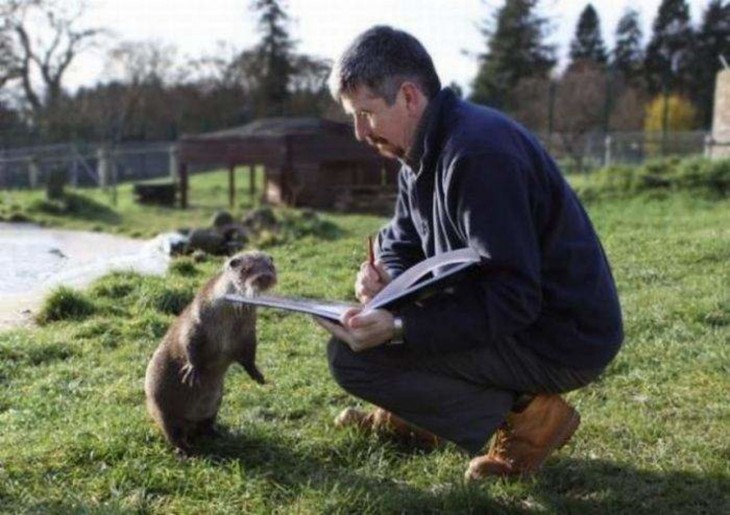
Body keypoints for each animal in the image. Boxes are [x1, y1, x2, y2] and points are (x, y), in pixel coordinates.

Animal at [144, 251, 276, 456]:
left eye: (270, 266)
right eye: (246, 269)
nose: (265, 277)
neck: (227, 322)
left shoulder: (248, 334)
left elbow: (249, 356)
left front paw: (258, 375)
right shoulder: (197, 321)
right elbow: (188, 342)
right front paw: (193, 369)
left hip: (214, 405)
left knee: (206, 425)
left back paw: (216, 434)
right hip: (163, 410)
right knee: (173, 433)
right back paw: (185, 451)